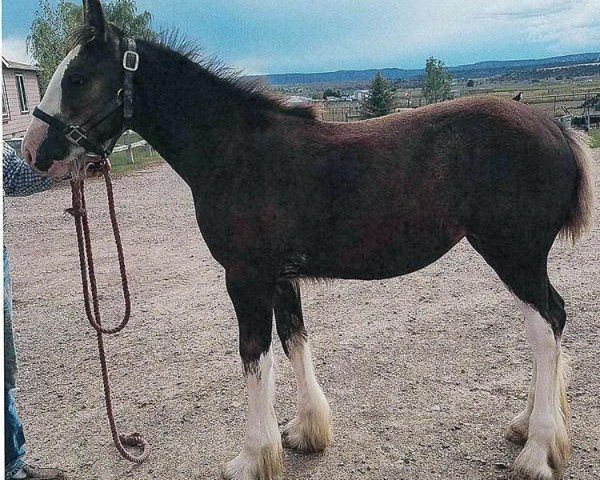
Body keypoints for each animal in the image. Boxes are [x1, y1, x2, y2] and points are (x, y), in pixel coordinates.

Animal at [21, 1, 592, 478]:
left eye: (77, 77)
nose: (32, 151)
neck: (236, 152)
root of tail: (556, 127)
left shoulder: (245, 279)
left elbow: (255, 356)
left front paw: (253, 457)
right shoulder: (281, 277)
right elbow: (294, 340)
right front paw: (305, 433)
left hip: (515, 255)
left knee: (546, 325)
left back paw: (539, 450)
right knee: (551, 322)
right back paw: (527, 425)